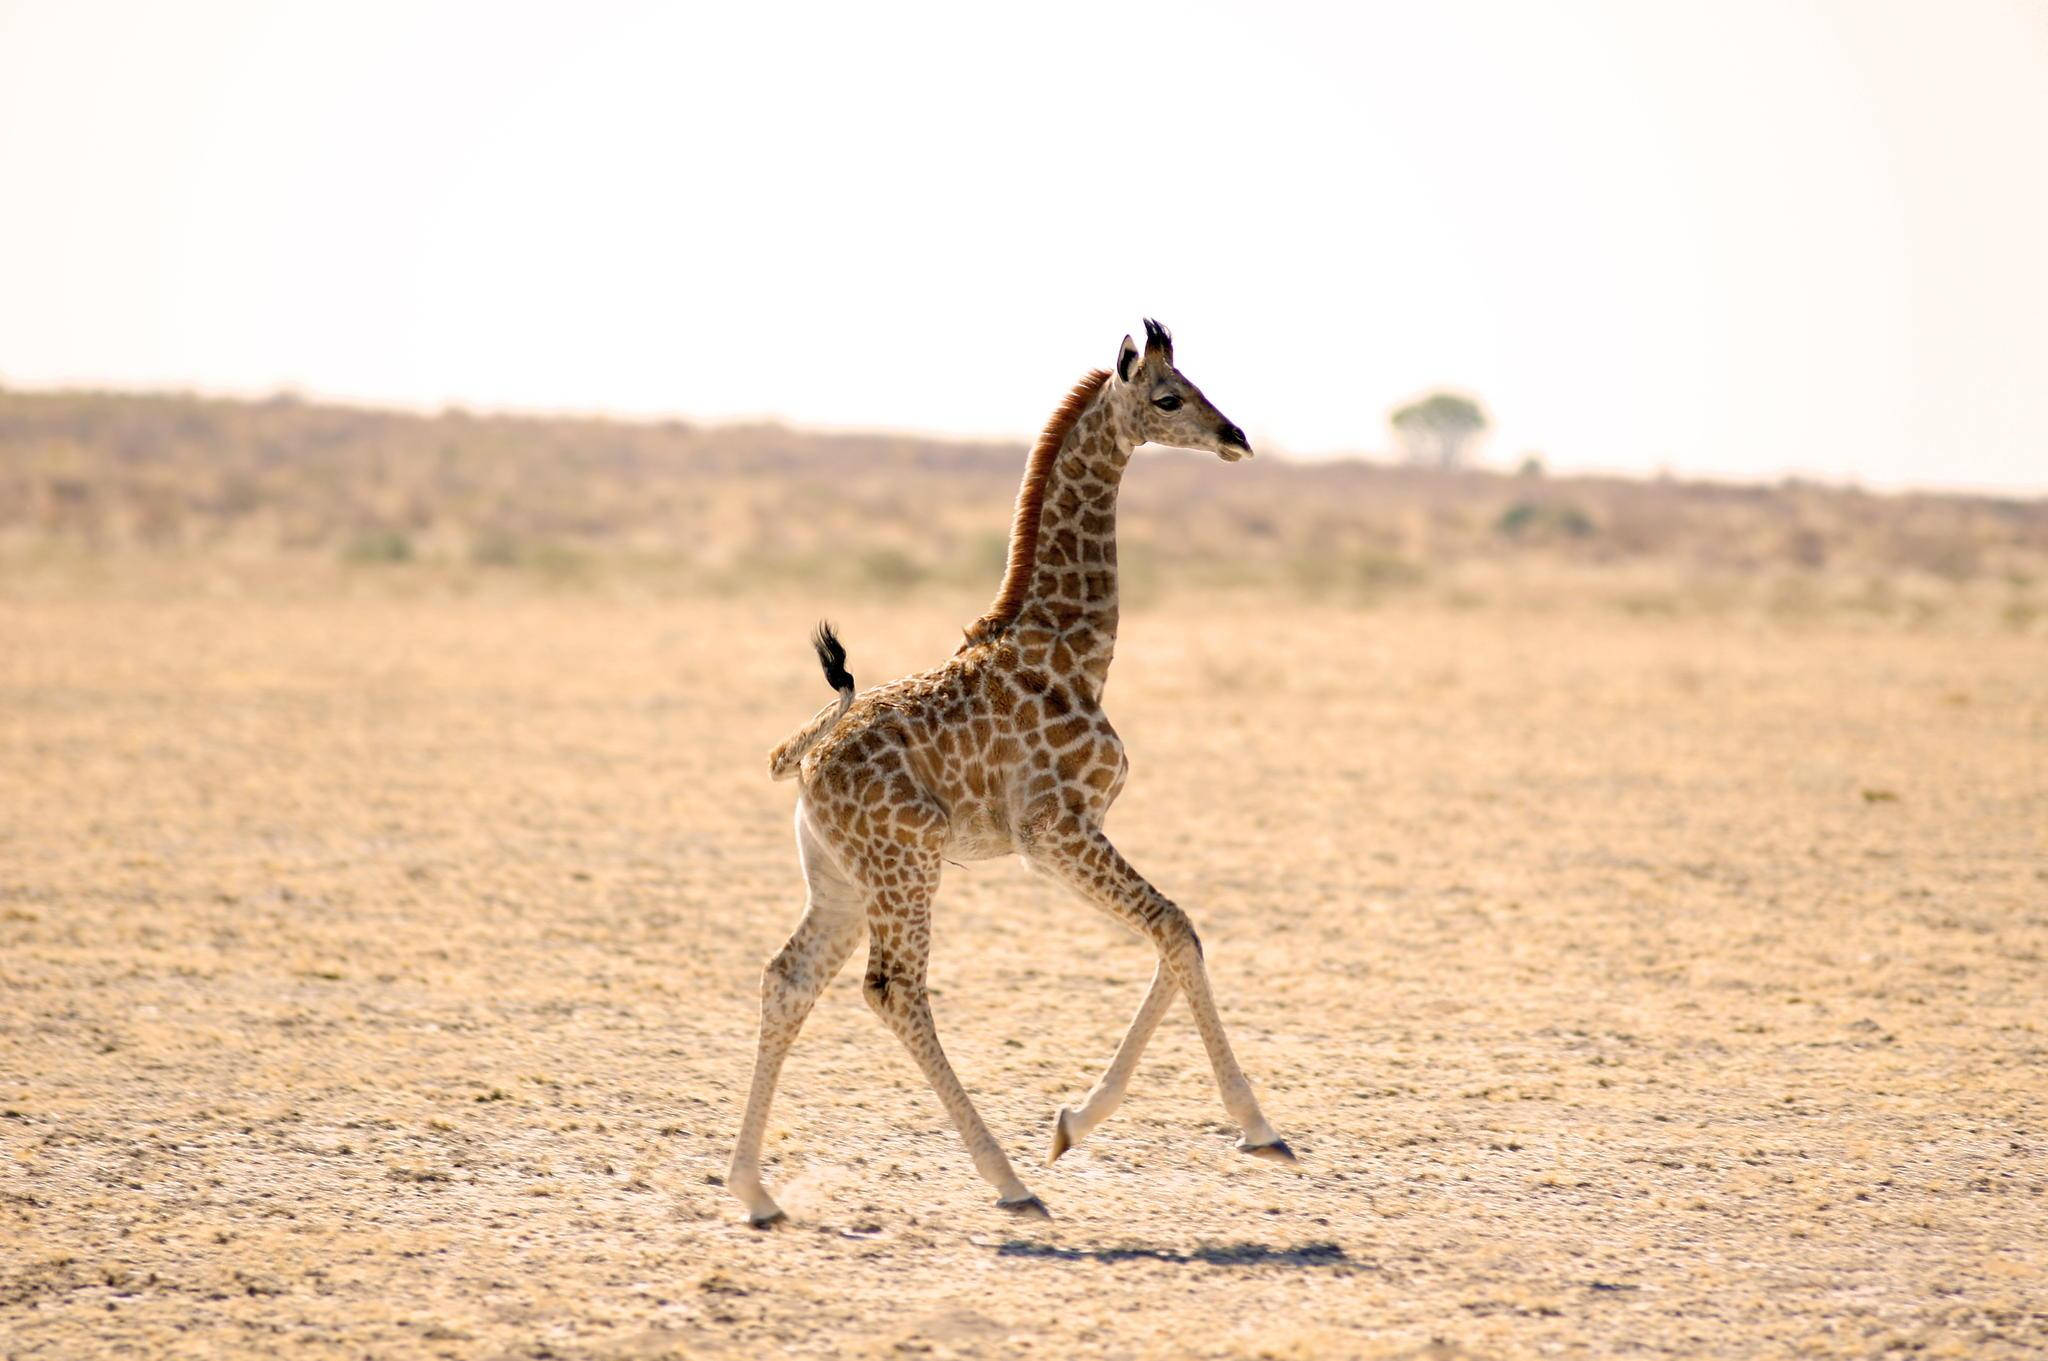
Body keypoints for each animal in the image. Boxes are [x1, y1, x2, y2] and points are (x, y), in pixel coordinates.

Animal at [726, 320, 1292, 1225]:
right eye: (1170, 396)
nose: (1235, 435)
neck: (1075, 650)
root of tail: (802, 760)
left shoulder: (1062, 839)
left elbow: (1174, 933)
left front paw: (1074, 1122)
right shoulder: (1055, 829)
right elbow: (1174, 927)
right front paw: (1255, 1126)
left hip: (841, 877)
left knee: (788, 978)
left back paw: (754, 1189)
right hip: (908, 861)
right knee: (895, 990)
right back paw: (1009, 1180)